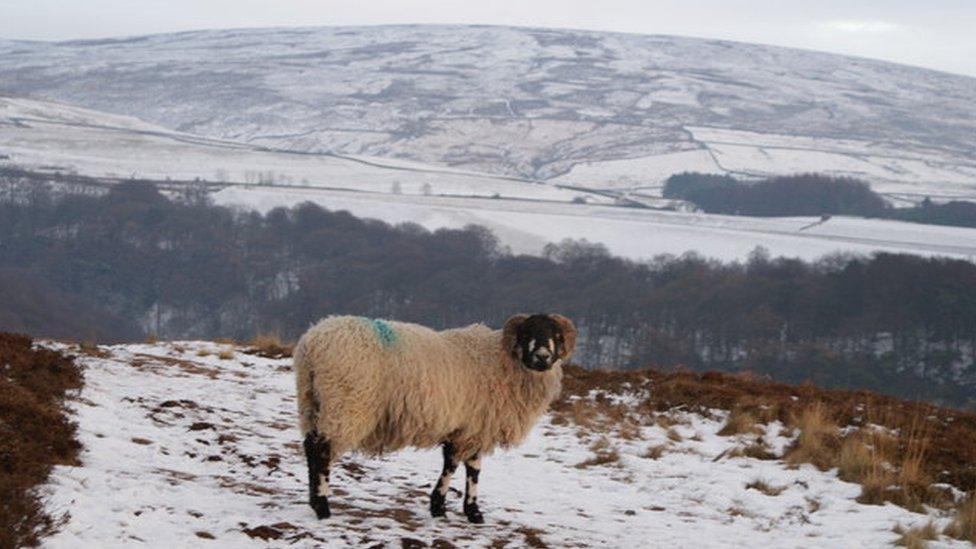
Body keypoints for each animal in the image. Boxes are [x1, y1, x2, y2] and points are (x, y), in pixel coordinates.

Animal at [294, 312, 576, 524]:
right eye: (527, 334)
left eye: (556, 336)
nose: (543, 357)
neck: (502, 362)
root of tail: (313, 342)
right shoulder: (471, 427)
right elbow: (458, 465)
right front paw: (450, 508)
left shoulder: (470, 426)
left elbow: (467, 466)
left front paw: (463, 510)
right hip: (345, 404)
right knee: (322, 450)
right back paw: (322, 506)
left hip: (311, 402)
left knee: (310, 445)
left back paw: (313, 501)